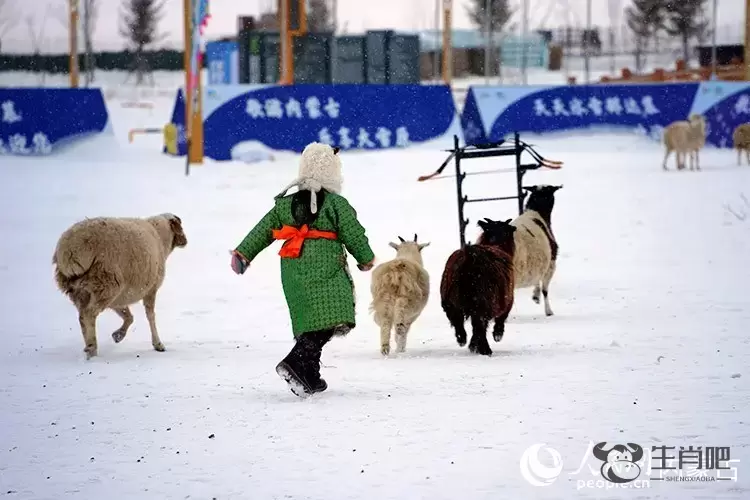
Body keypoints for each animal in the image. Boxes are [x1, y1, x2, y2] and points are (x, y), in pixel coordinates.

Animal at [53, 213, 188, 358]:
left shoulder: (119, 298)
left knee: (82, 317)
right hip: (107, 283)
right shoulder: (150, 289)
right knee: (88, 314)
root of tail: (71, 249)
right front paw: (158, 344)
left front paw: (118, 335)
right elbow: (150, 316)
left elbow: (128, 316)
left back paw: (88, 348)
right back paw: (92, 349)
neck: (161, 237)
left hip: (82, 291)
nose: (185, 241)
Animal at [440, 219, 516, 356]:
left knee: (458, 322)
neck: (496, 244)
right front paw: (496, 336)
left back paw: (463, 340)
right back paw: (485, 349)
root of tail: (470, 256)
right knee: (479, 325)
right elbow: (499, 320)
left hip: (450, 302)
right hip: (484, 301)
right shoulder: (508, 300)